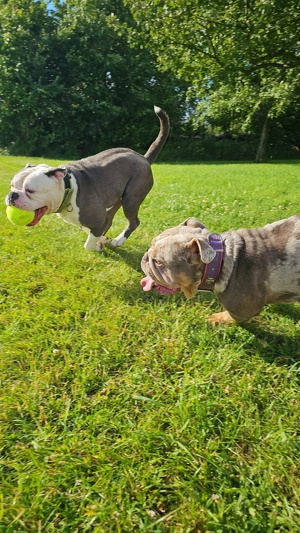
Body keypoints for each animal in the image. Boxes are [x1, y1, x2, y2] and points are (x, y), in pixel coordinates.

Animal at [5, 107, 169, 251]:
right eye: (12, 186)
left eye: (30, 191)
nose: (12, 195)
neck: (67, 189)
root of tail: (143, 158)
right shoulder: (96, 219)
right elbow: (92, 231)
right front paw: (103, 240)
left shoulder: (97, 220)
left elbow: (88, 243)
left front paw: (98, 246)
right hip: (117, 199)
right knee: (110, 219)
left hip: (131, 200)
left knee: (134, 222)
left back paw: (118, 240)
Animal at [141, 213, 300, 322]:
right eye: (152, 243)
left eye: (159, 262)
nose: (145, 256)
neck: (223, 261)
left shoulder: (243, 310)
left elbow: (232, 316)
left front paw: (216, 319)